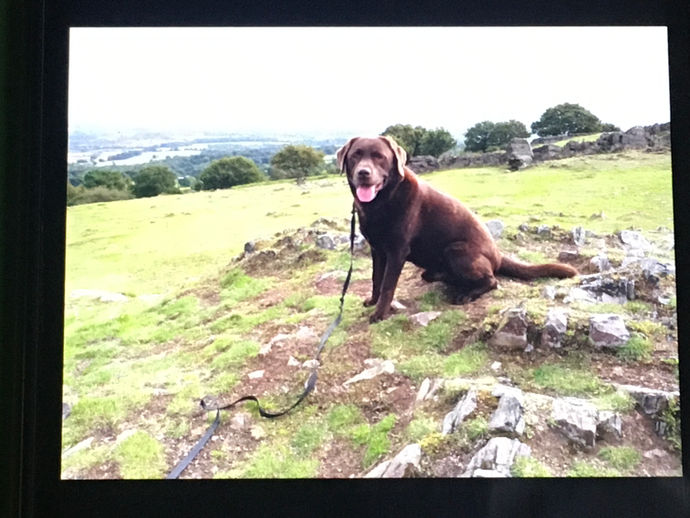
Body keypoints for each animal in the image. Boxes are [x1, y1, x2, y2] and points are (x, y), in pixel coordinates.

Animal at [337, 135, 578, 323]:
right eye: (356, 155)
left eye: (379, 156)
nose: (363, 173)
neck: (382, 202)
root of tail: (498, 256)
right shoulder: (377, 250)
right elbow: (376, 279)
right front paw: (373, 301)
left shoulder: (397, 252)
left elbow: (388, 285)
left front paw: (380, 314)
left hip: (456, 250)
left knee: (492, 280)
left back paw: (466, 294)